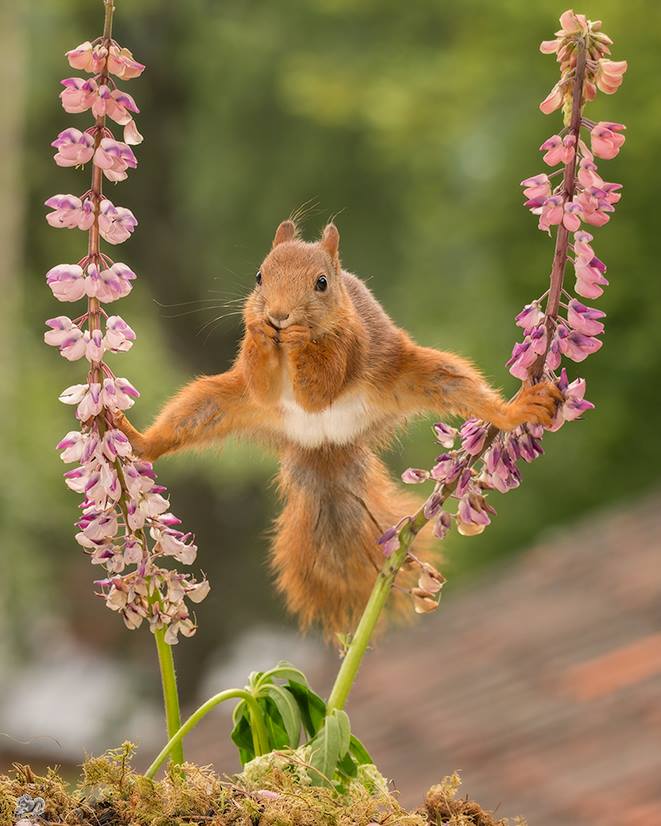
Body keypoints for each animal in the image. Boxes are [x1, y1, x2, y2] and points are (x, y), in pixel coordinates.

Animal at [116, 219, 560, 632]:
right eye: (259, 276)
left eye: (322, 283)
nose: (278, 316)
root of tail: (324, 443)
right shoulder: (257, 386)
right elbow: (261, 382)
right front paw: (260, 332)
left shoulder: (352, 344)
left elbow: (321, 387)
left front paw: (298, 338)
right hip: (216, 402)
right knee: (189, 416)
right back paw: (136, 441)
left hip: (416, 375)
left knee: (459, 386)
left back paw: (516, 410)